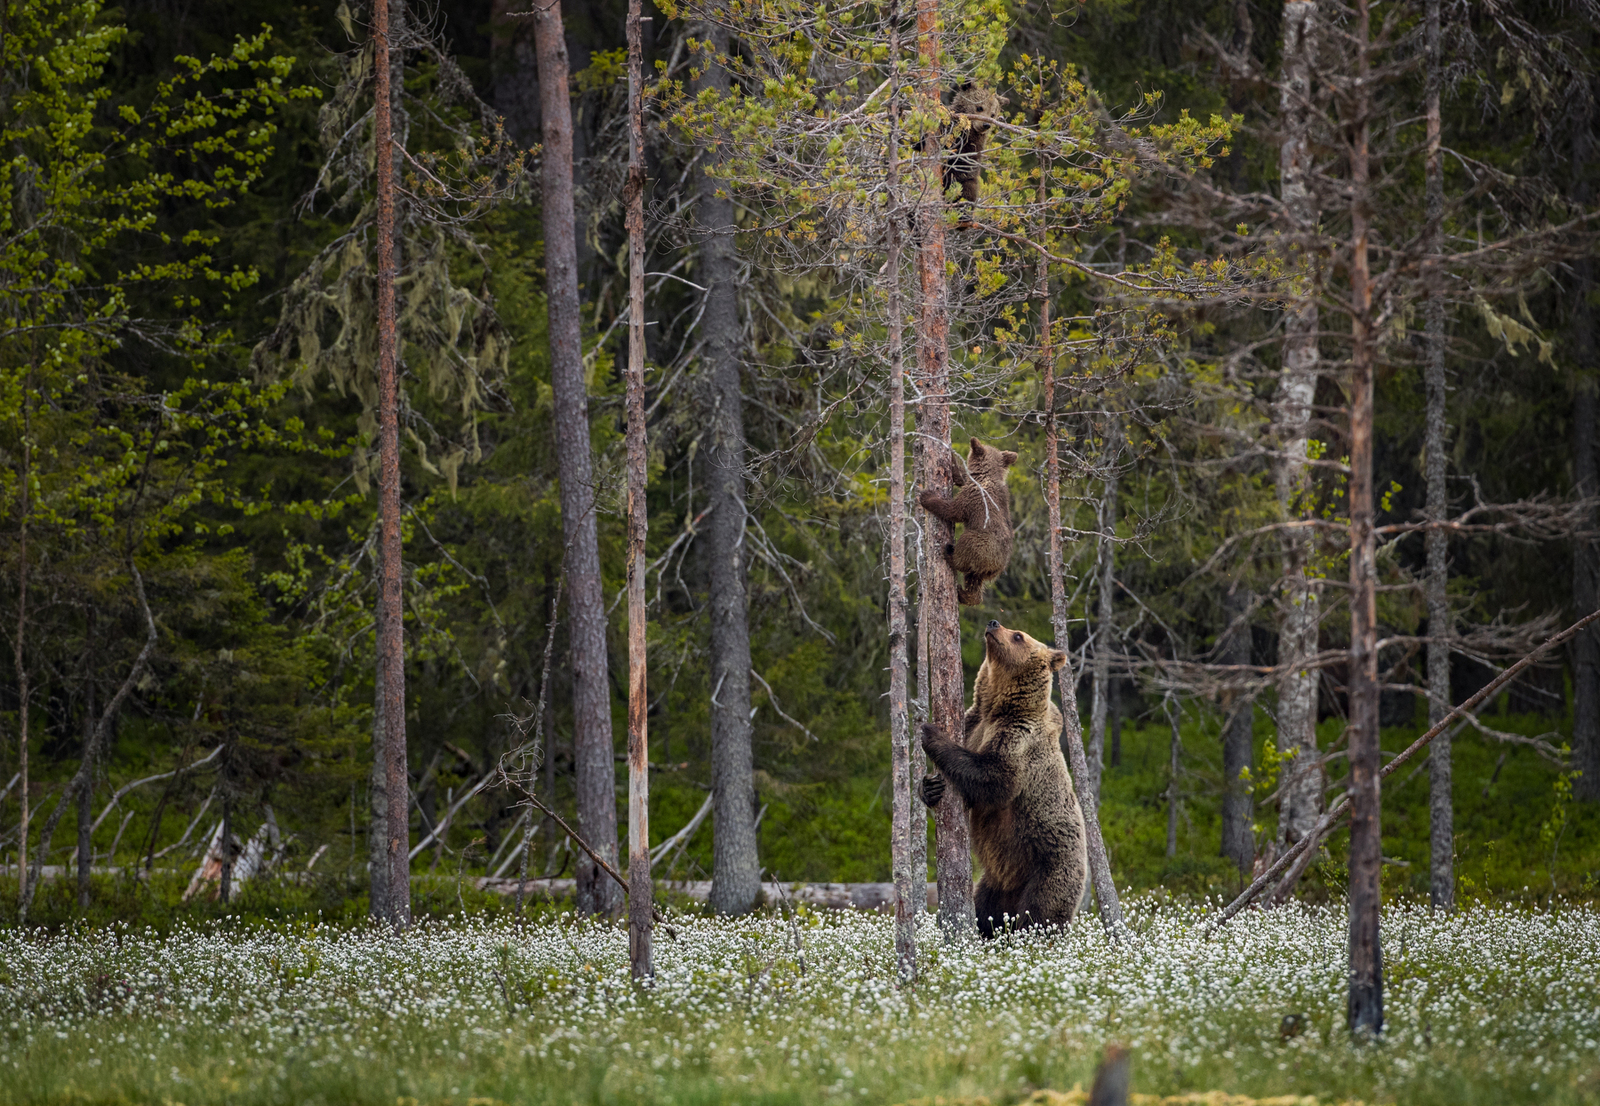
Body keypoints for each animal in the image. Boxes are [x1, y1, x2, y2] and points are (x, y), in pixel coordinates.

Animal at [921, 438, 1017, 605]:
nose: (972, 441)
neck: (985, 477)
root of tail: (999, 566)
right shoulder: (972, 484)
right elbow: (961, 476)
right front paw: (951, 458)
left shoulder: (973, 497)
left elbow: (952, 510)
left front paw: (926, 497)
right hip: (983, 567)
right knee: (974, 579)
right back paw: (966, 595)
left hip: (982, 545)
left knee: (966, 546)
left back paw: (949, 553)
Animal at [928, 617, 1088, 941]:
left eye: (1018, 636)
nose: (993, 623)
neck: (998, 707)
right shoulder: (974, 723)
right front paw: (930, 787)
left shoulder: (1019, 738)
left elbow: (994, 779)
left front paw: (932, 734)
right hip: (995, 883)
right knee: (984, 911)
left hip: (1050, 867)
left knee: (1041, 913)